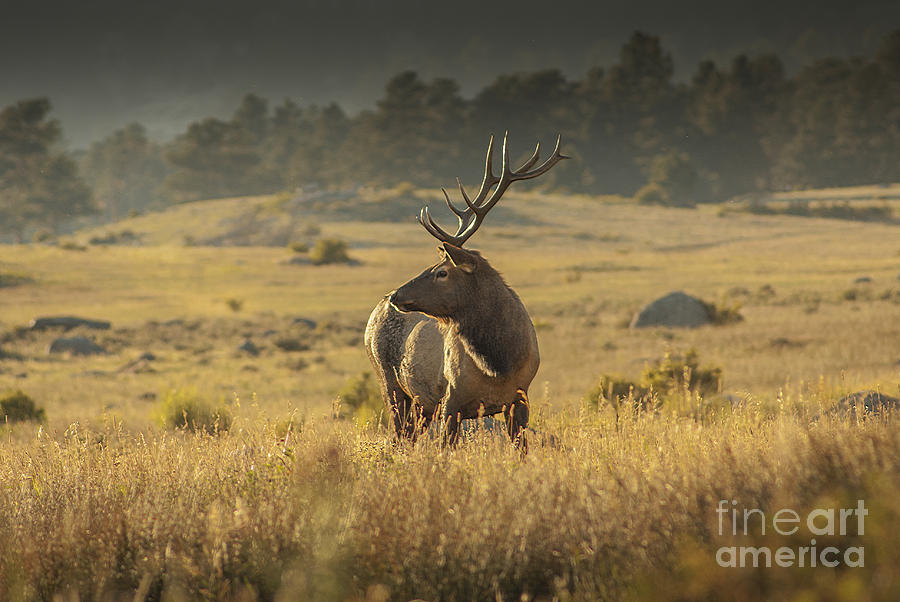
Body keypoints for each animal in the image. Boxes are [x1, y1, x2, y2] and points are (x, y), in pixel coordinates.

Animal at [364, 134, 564, 442]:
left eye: (442, 272)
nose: (396, 295)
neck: (498, 365)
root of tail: (372, 317)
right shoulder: (450, 399)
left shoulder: (520, 399)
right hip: (390, 383)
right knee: (399, 436)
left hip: (421, 406)